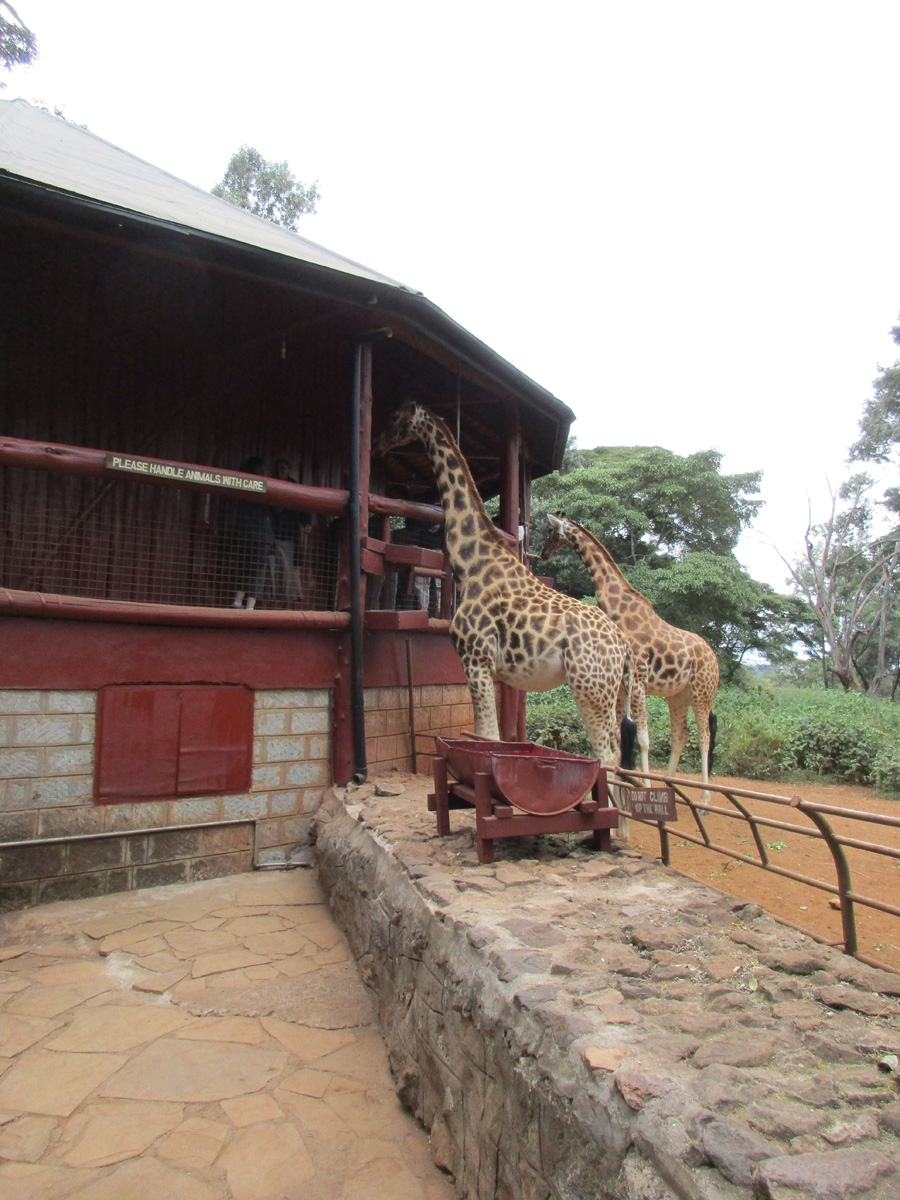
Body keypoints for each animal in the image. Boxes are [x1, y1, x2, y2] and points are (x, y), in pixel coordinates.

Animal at [373, 402, 635, 770]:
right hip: (611, 690)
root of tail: (623, 645)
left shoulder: (475, 658)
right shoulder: (487, 667)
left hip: (590, 686)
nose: (376, 445)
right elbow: (488, 736)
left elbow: (486, 736)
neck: (471, 564)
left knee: (607, 755)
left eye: (396, 416)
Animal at [538, 513, 719, 788]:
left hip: (703, 693)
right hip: (679, 696)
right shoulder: (623, 686)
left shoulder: (639, 682)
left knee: (704, 737)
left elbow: (642, 738)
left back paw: (704, 794)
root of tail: (715, 659)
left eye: (551, 531)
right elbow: (620, 734)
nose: (543, 554)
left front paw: (644, 784)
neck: (619, 609)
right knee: (681, 736)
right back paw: (670, 784)